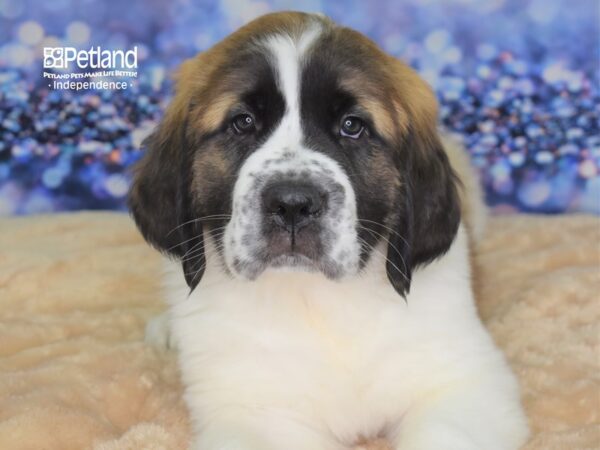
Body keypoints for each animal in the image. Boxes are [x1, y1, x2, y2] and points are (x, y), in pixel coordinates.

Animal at [129, 10, 528, 450]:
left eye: (352, 126)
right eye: (242, 123)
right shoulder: (257, 415)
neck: (318, 302)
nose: (292, 204)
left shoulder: (462, 385)